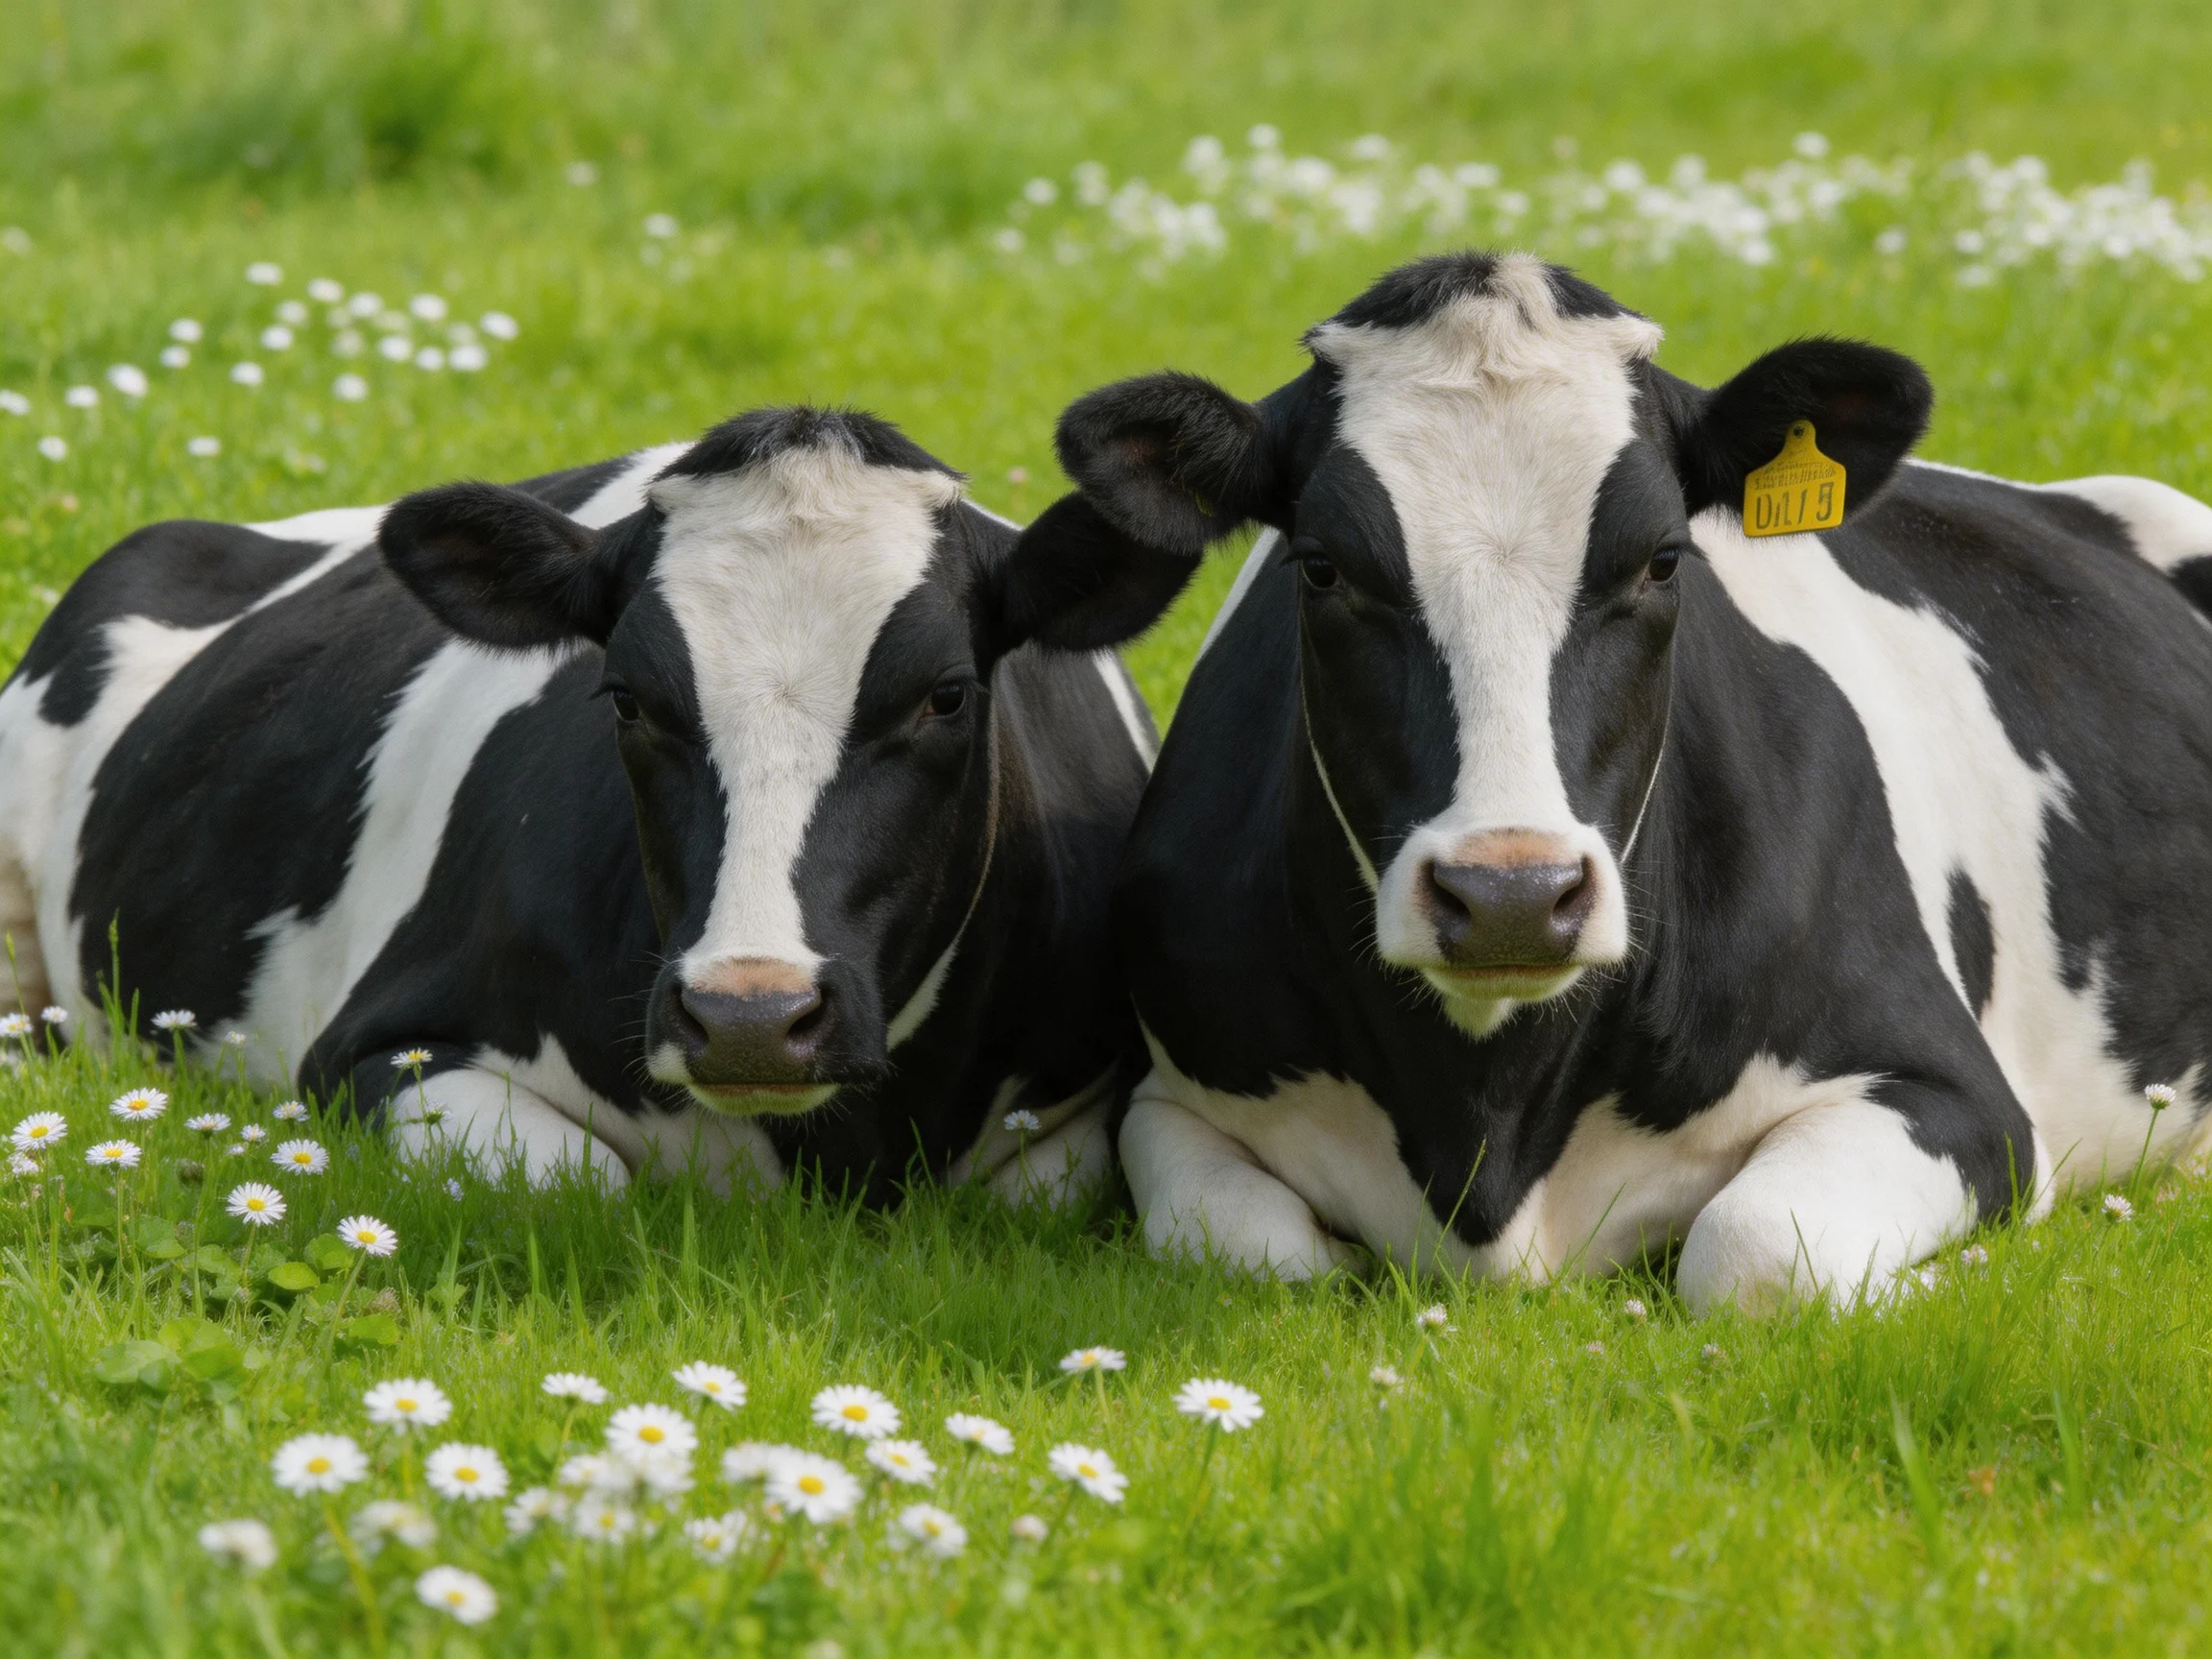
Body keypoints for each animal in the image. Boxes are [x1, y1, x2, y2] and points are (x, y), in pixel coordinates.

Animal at [0, 406, 1182, 1202]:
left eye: (948, 694)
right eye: (626, 696)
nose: (750, 1018)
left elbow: (1049, 1186)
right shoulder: (367, 1052)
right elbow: (579, 1181)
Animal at [1041, 250, 2212, 1310]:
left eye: (1662, 559)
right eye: (1322, 568)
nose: (1511, 897)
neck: (1488, 1122)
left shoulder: (1959, 1094)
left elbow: (1754, 1254)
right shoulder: (1168, 1098)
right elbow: (1265, 1259)